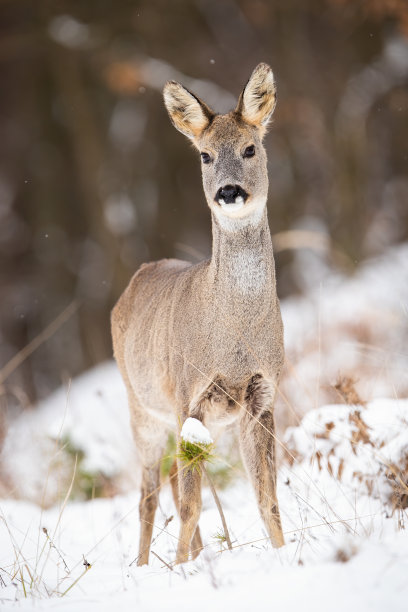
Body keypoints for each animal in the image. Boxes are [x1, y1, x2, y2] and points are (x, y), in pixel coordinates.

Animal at [110, 62, 286, 564]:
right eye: (205, 156)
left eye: (250, 148)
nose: (228, 191)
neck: (234, 336)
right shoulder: (188, 395)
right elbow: (190, 504)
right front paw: (180, 570)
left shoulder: (263, 395)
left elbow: (267, 497)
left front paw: (287, 555)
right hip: (142, 406)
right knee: (149, 491)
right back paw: (147, 563)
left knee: (171, 480)